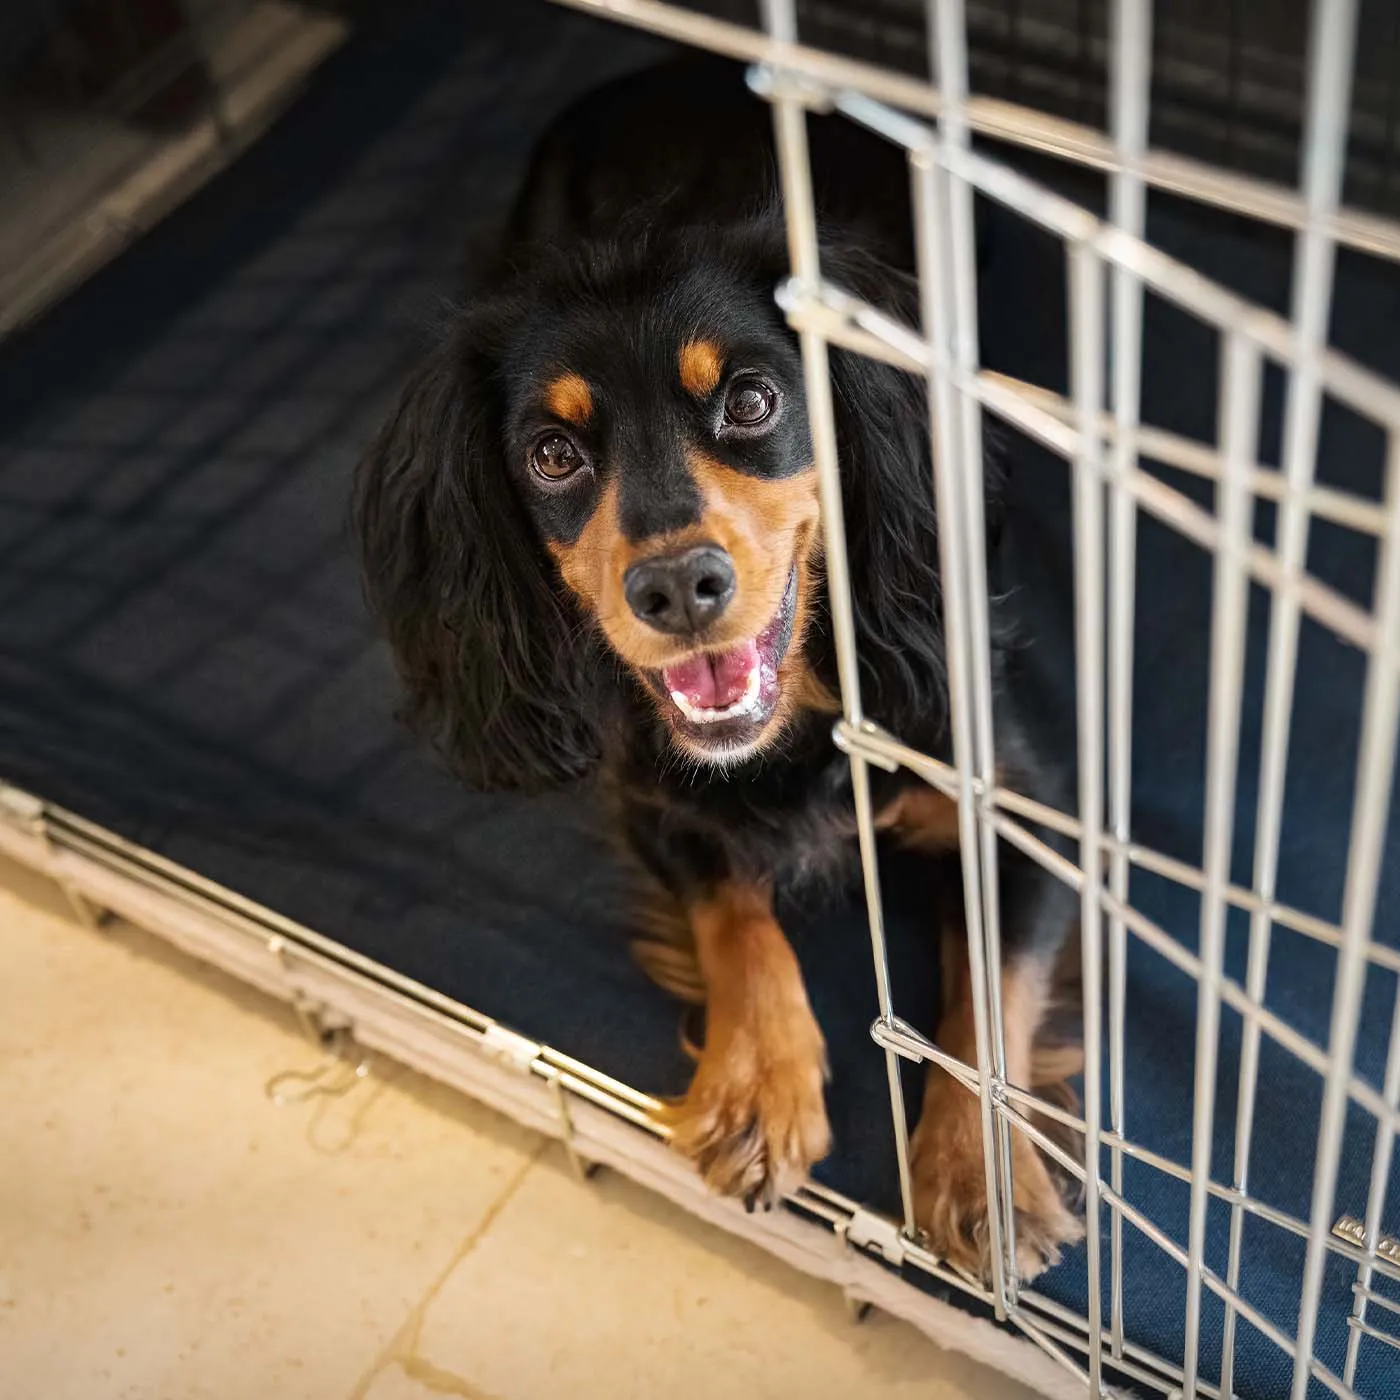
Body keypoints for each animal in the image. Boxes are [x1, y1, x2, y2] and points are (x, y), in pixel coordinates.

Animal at [358, 51, 1080, 1282]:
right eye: (551, 454)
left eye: (751, 400)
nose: (676, 587)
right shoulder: (655, 795)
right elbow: (731, 910)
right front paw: (755, 1088)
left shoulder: (1019, 803)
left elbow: (986, 997)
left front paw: (978, 1171)